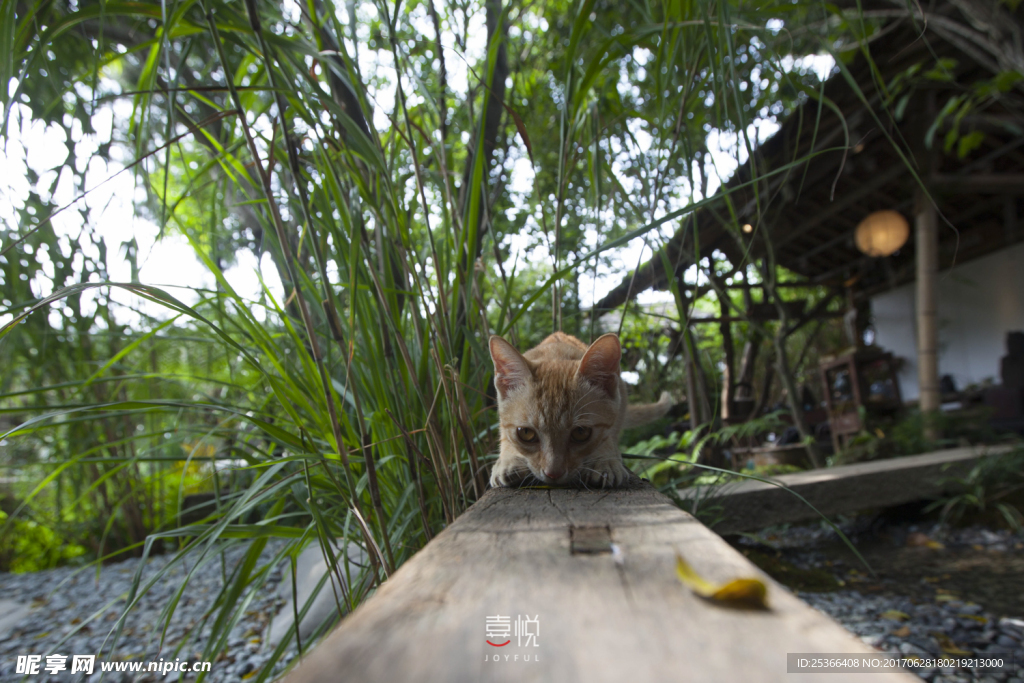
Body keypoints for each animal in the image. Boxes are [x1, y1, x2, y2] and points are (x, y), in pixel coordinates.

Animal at [485, 331, 671, 489]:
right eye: (526, 433)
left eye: (581, 432)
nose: (553, 473)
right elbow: (505, 437)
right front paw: (508, 460)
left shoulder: (614, 413)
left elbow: (607, 437)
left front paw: (605, 460)